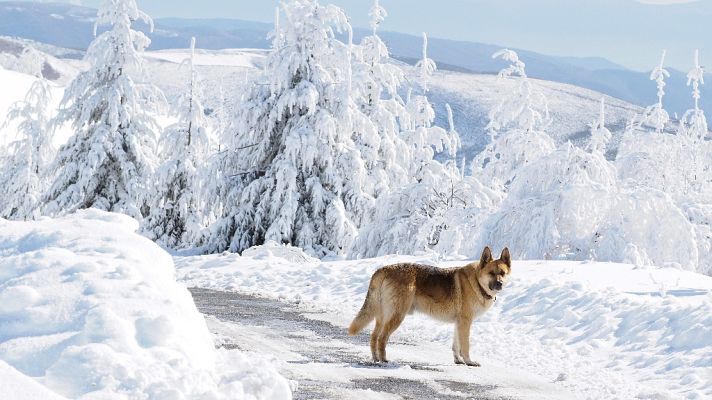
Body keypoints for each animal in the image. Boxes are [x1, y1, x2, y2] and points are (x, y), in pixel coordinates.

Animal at [348, 247, 508, 366]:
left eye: (503, 273)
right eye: (491, 273)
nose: (499, 284)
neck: (476, 282)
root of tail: (384, 269)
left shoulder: (459, 323)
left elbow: (456, 345)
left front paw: (458, 361)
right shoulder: (465, 322)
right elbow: (465, 346)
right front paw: (469, 362)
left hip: (382, 317)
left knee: (374, 337)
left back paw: (376, 359)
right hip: (396, 316)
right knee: (382, 338)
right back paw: (383, 360)